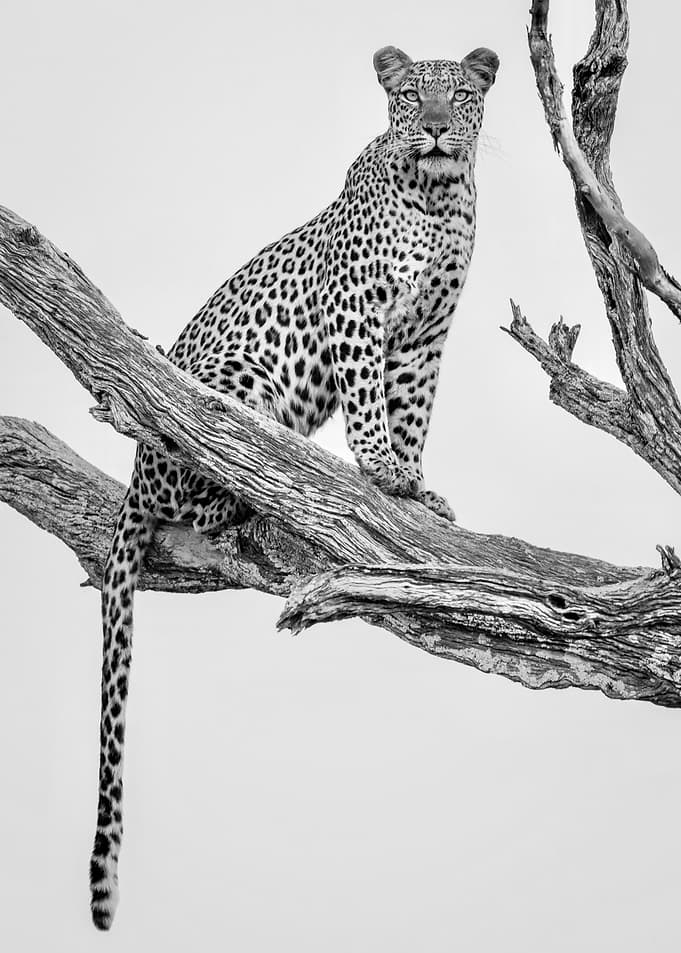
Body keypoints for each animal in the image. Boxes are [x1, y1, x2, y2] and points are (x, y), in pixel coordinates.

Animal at [89, 44, 499, 929]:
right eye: (410, 97)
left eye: (459, 95)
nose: (433, 128)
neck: (439, 198)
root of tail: (132, 479)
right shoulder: (357, 311)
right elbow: (370, 401)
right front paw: (380, 470)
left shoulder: (424, 337)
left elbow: (412, 410)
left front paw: (415, 488)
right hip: (228, 387)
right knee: (206, 467)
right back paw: (246, 486)